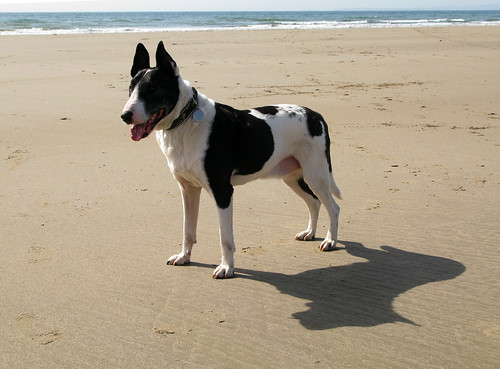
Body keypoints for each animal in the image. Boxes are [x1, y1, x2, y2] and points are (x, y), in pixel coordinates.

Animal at [121, 41, 342, 278]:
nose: (125, 116)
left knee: (333, 207)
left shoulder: (223, 191)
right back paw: (310, 232)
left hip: (316, 174)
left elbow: (225, 238)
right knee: (314, 202)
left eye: (152, 89)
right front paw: (184, 257)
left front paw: (227, 267)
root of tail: (316, 116)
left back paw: (330, 241)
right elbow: (187, 231)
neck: (185, 121)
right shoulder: (188, 190)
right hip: (293, 177)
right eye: (131, 88)